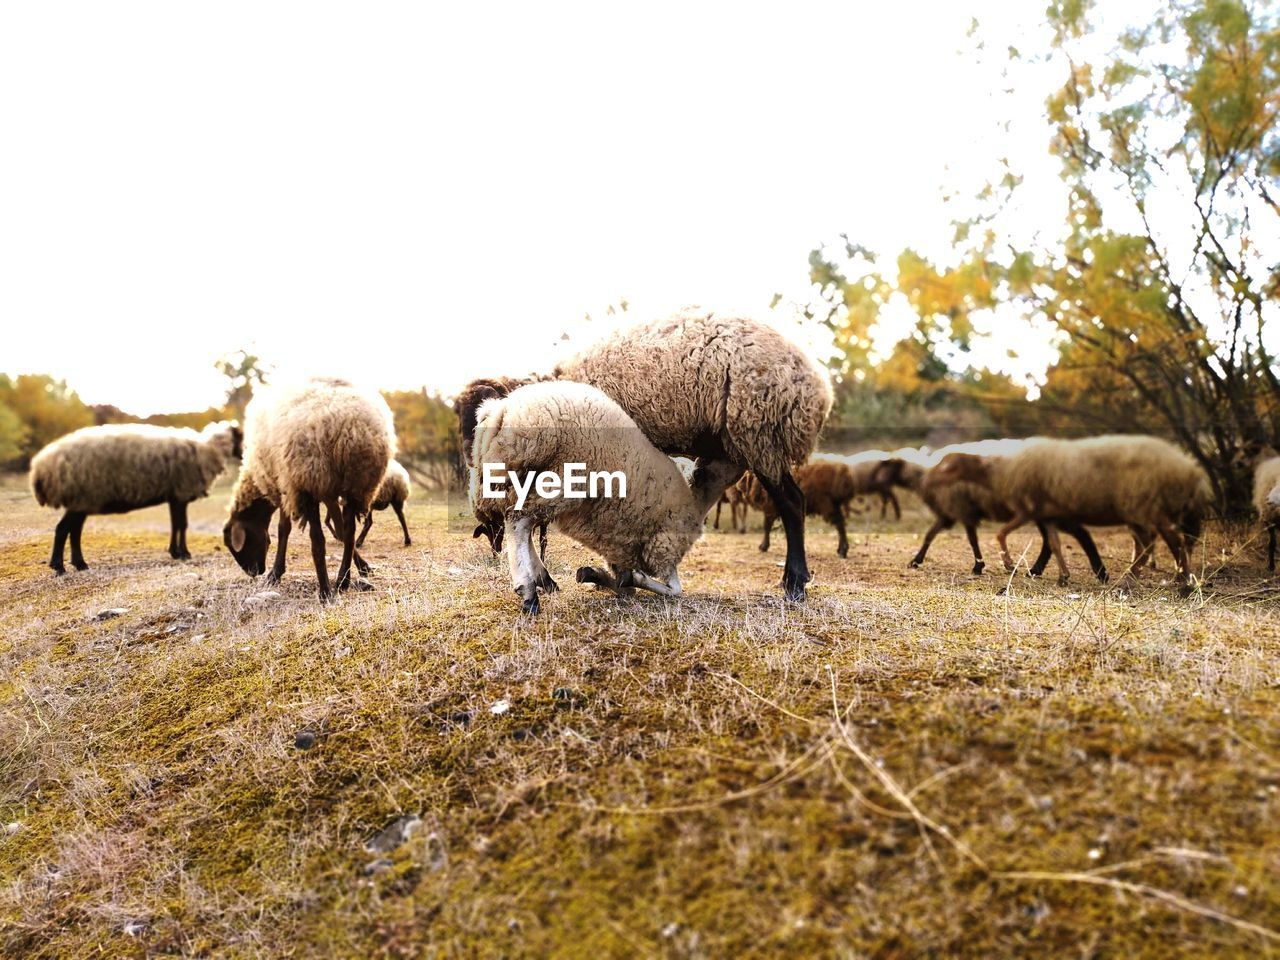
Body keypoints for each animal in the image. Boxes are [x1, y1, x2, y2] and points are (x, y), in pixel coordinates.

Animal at [29, 419, 244, 570]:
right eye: (241, 436)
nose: (245, 454)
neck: (208, 450)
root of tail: (41, 468)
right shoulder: (181, 493)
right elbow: (182, 525)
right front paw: (184, 553)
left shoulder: (174, 496)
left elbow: (175, 525)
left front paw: (175, 552)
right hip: (80, 498)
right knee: (63, 529)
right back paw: (59, 566)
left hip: (82, 501)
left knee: (73, 531)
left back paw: (79, 564)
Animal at [224, 378, 394, 599]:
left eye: (236, 547)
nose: (253, 572)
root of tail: (347, 424)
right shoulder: (325, 491)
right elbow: (340, 529)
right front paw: (362, 566)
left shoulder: (287, 485)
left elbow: (283, 529)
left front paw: (275, 573)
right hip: (357, 482)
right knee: (349, 532)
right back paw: (342, 580)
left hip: (309, 477)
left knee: (317, 540)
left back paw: (325, 590)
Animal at [471, 381, 737, 616]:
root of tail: (502, 410)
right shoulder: (662, 544)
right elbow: (674, 589)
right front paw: (632, 578)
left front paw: (601, 576)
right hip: (562, 478)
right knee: (520, 520)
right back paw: (528, 589)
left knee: (523, 524)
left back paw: (544, 580)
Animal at [931, 437, 1208, 591]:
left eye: (949, 465)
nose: (930, 480)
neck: (1002, 471)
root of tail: (1189, 469)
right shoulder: (1047, 516)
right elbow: (1054, 544)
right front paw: (1063, 576)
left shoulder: (1027, 510)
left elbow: (1001, 534)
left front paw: (1010, 563)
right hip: (1141, 510)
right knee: (1152, 543)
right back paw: (1149, 576)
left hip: (1146, 506)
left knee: (1169, 542)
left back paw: (1178, 580)